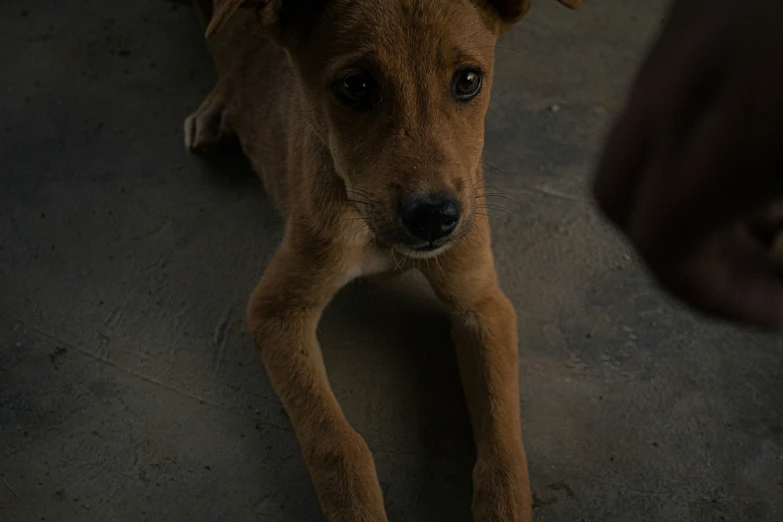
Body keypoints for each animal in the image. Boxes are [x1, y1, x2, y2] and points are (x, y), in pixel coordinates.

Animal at [182, 2, 576, 516]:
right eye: (356, 87)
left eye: (468, 80)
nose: (434, 218)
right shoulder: (276, 310)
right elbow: (337, 444)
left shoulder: (483, 303)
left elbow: (504, 448)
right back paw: (213, 111)